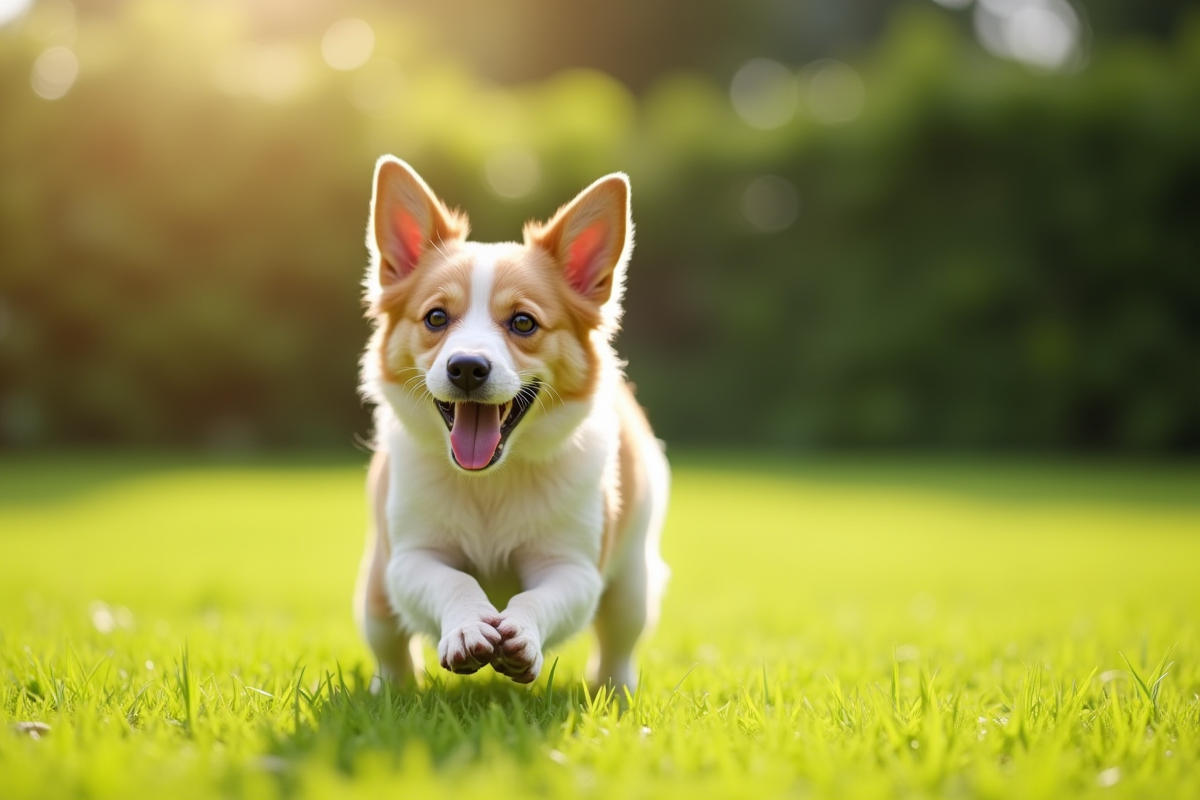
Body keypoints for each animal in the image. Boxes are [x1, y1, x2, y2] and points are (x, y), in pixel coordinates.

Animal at [355, 155, 676, 690]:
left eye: (523, 323)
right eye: (436, 317)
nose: (466, 367)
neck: (490, 481)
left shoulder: (572, 567)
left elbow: (536, 598)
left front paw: (521, 633)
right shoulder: (411, 557)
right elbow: (455, 579)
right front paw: (468, 626)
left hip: (633, 582)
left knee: (618, 644)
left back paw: (616, 690)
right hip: (375, 592)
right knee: (389, 648)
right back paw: (392, 690)